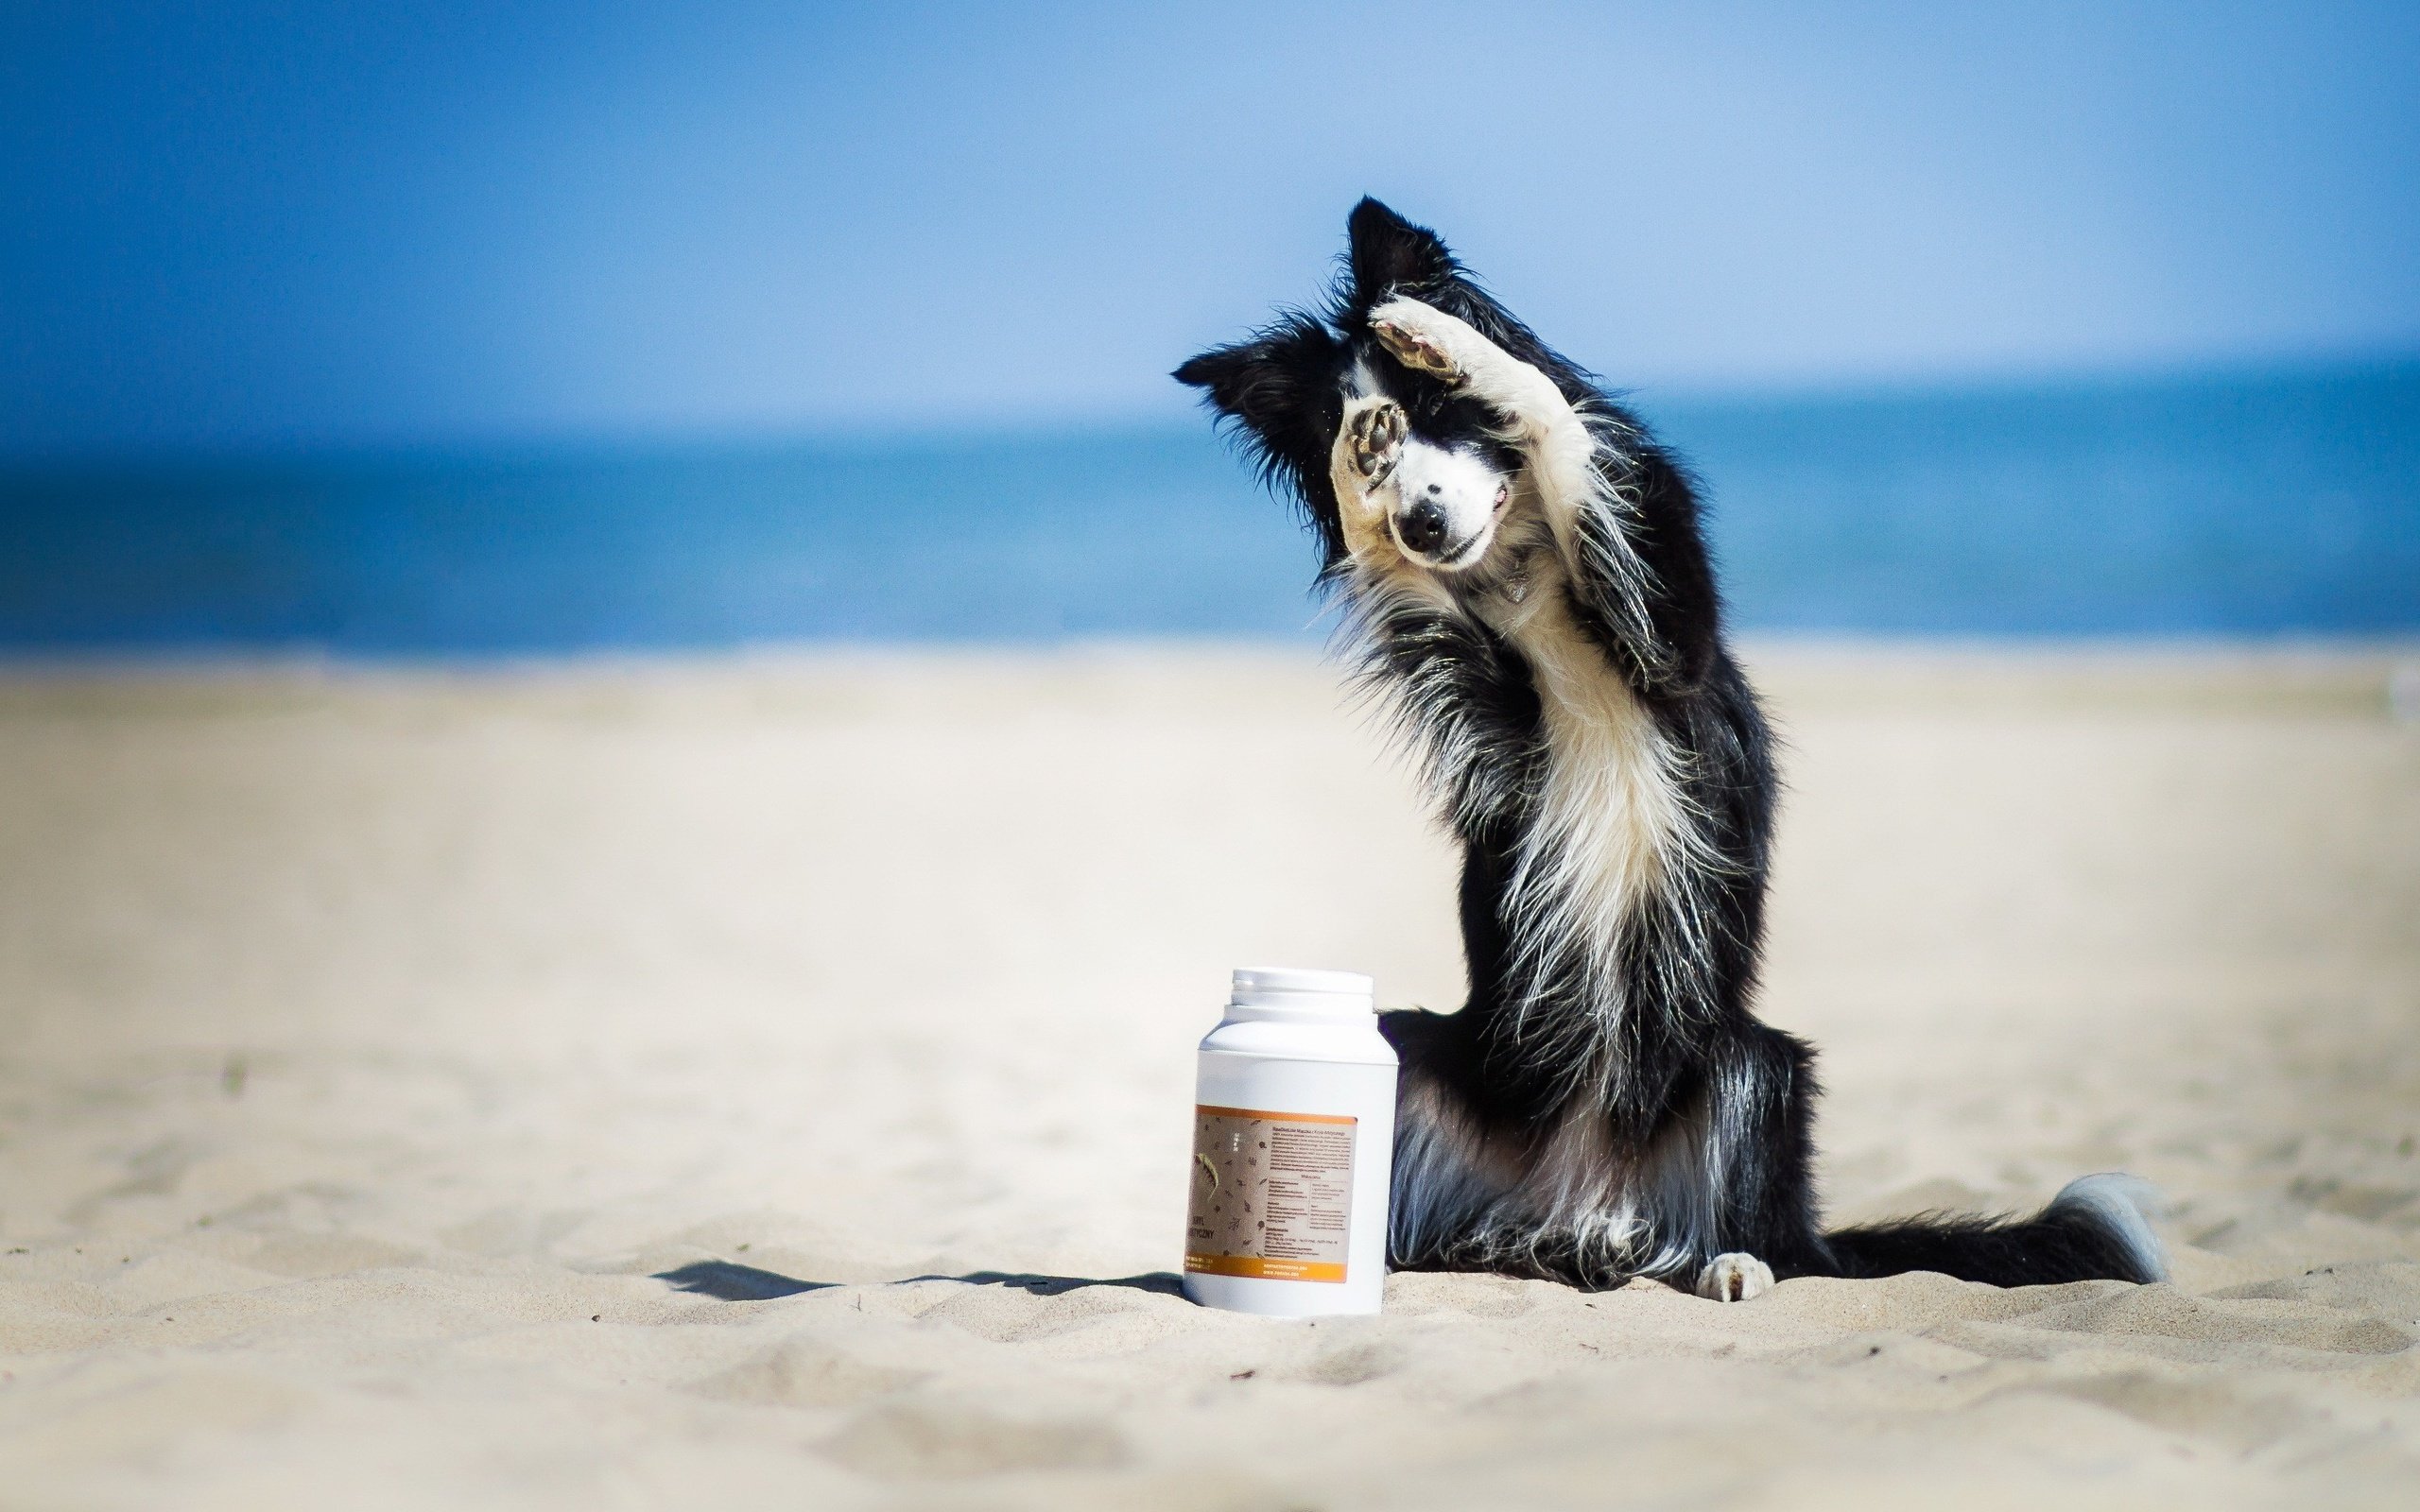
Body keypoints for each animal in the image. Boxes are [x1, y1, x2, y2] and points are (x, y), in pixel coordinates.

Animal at [1181, 197, 2168, 1297]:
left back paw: (1733, 1265)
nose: (1423, 521)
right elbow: (1386, 564)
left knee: (1755, 1234)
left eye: (1436, 407)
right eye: (1342, 430)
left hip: (1755, 1065)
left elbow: (1559, 421)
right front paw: (1362, 477)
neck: (1523, 571)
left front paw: (1447, 338)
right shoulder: (1490, 725)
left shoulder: (1669, 638)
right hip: (1424, 1054)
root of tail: (1580, 1211)